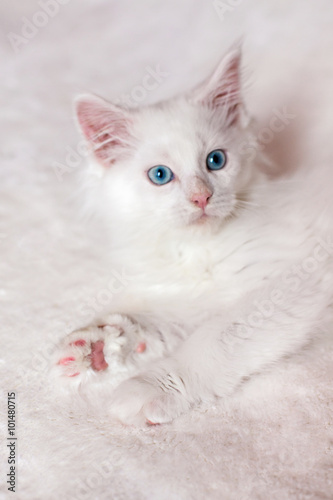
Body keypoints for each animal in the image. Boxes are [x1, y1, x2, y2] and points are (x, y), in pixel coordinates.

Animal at [53, 47, 330, 424]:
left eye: (215, 160)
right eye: (160, 175)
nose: (202, 197)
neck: (199, 247)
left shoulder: (288, 283)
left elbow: (214, 339)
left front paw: (152, 386)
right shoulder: (196, 293)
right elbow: (153, 318)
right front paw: (98, 346)